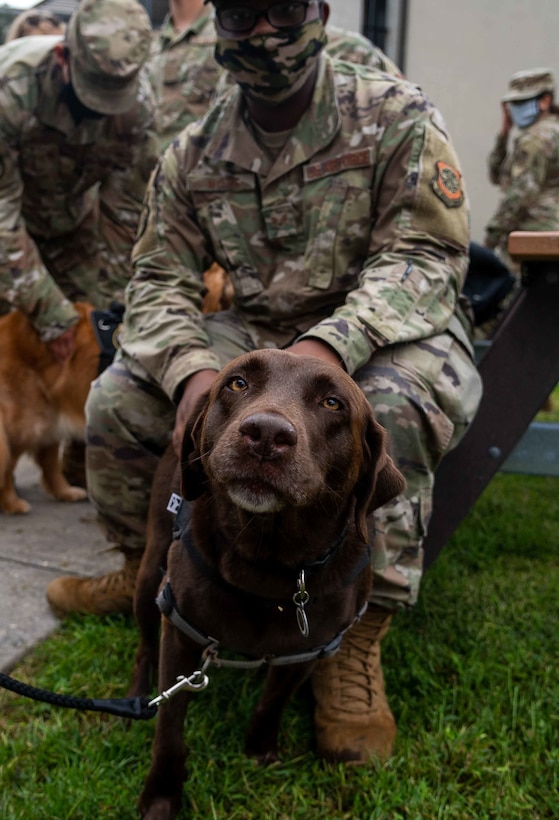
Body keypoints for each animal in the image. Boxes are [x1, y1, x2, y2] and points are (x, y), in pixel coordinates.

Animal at [0, 304, 98, 516]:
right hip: (26, 423)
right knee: (8, 466)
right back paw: (12, 503)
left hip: (49, 414)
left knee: (49, 461)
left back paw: (65, 491)